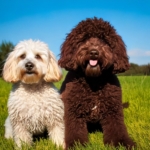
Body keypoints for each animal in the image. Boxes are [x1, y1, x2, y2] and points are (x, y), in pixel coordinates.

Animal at [58, 17, 136, 149]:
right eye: (84, 39)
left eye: (104, 40)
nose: (94, 52)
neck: (93, 81)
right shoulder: (73, 113)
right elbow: (75, 131)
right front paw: (76, 144)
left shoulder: (113, 112)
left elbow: (117, 130)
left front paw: (122, 143)